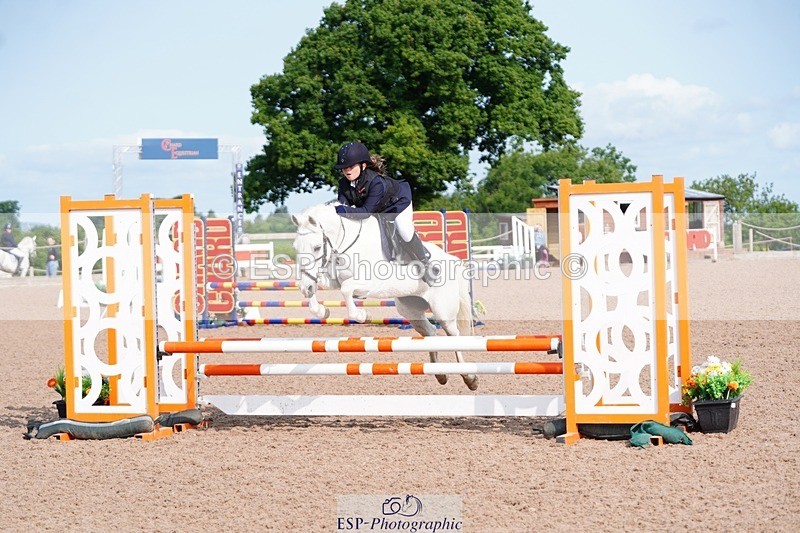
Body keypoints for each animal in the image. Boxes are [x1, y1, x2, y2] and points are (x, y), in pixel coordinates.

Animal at [291, 204, 478, 390]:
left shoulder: (371, 282)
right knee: (431, 331)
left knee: (453, 335)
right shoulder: (333, 280)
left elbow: (346, 289)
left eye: (316, 247)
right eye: (295, 247)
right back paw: (440, 373)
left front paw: (363, 315)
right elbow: (319, 286)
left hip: (443, 311)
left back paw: (470, 378)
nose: (304, 287)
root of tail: (452, 259)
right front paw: (321, 310)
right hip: (410, 310)